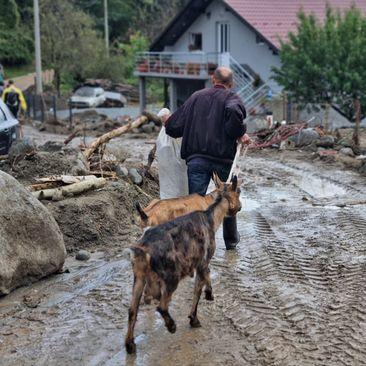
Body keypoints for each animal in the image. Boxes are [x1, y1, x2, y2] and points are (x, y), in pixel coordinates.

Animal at [124, 176, 242, 354]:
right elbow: (198, 291)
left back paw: (130, 344)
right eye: (239, 191)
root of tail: (143, 247)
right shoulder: (202, 263)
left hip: (139, 278)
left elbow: (204, 281)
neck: (210, 215)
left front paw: (207, 297)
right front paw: (195, 316)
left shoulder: (200, 265)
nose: (240, 206)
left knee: (132, 311)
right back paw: (171, 325)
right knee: (162, 306)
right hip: (171, 277)